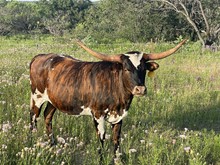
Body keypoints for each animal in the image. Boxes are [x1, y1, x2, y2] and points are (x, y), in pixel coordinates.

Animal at [30, 38, 186, 157]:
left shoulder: (119, 116)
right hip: (36, 97)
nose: (140, 89)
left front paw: (117, 159)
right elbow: (101, 139)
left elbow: (116, 139)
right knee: (33, 117)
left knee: (47, 116)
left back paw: (52, 145)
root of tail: (40, 56)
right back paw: (32, 142)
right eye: (126, 68)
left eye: (143, 69)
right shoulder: (98, 114)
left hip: (53, 100)